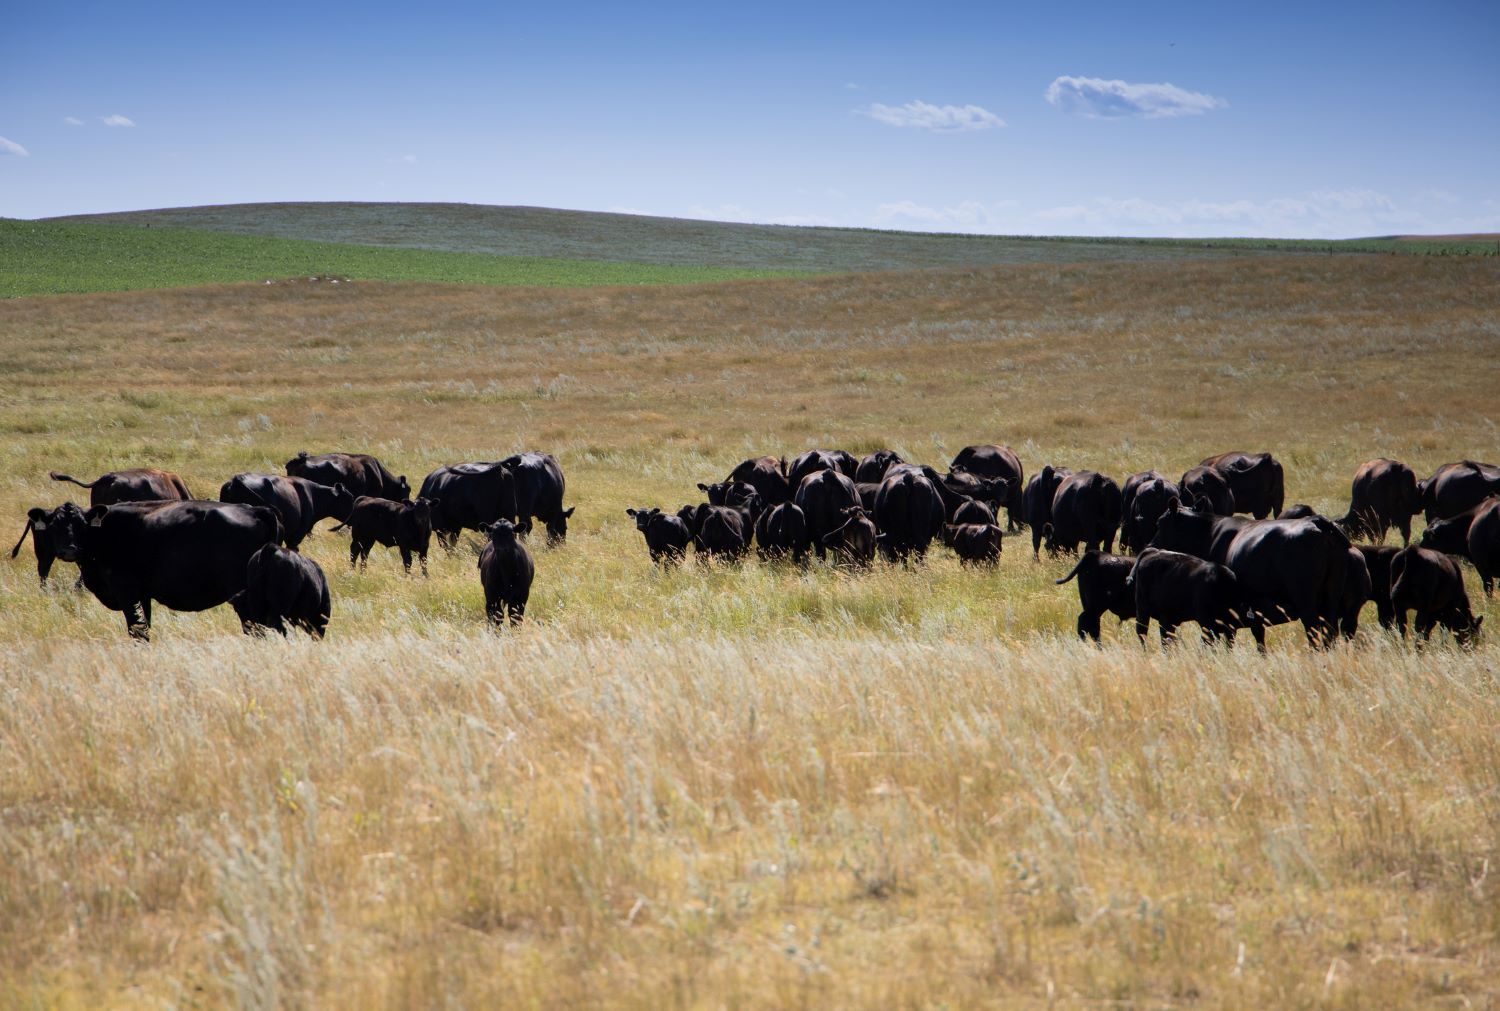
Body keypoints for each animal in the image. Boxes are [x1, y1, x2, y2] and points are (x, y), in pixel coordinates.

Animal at [50, 498, 279, 639]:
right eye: (54, 525)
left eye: (81, 524)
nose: (69, 550)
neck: (104, 531)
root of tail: (255, 510)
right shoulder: (143, 596)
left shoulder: (126, 592)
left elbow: (137, 630)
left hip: (243, 597)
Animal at [1146, 495, 1350, 645]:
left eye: (1159, 523)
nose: (1151, 545)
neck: (1210, 534)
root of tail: (1318, 522)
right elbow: (1258, 636)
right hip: (1332, 597)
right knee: (1330, 633)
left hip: (1305, 598)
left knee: (1313, 633)